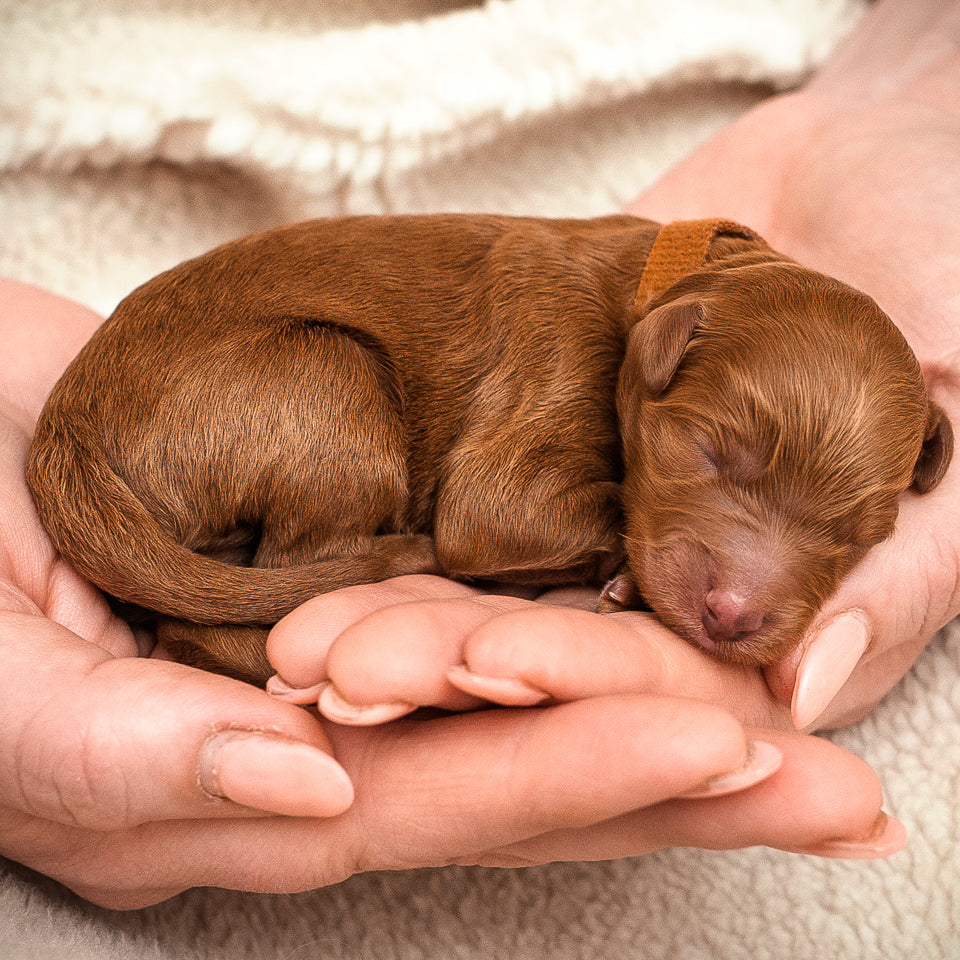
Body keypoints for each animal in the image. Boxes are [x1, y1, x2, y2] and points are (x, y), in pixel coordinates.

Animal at [26, 214, 948, 688]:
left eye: (859, 539)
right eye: (706, 449)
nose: (733, 618)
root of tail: (63, 433)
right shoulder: (537, 407)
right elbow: (519, 513)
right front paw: (615, 576)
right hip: (329, 370)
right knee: (270, 582)